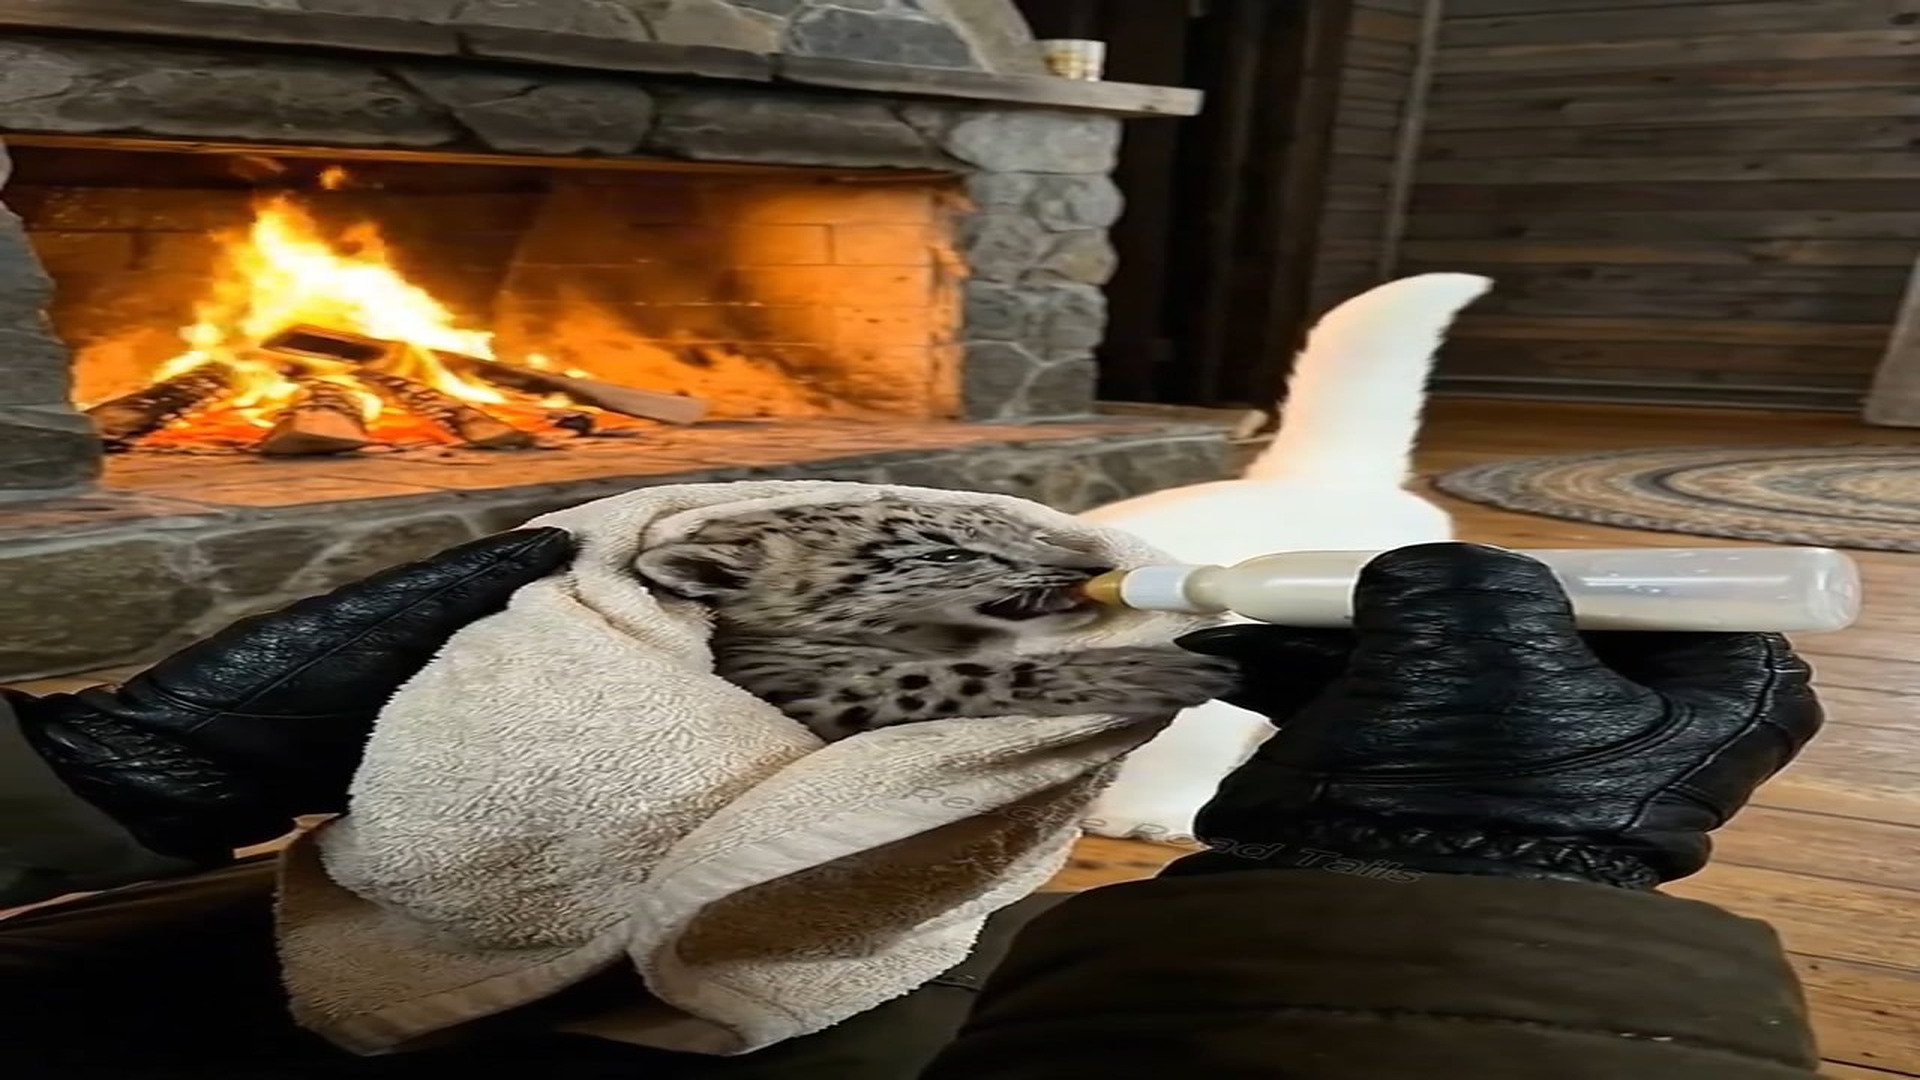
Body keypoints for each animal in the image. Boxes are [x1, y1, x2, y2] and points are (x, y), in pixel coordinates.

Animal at [633, 498, 1240, 741]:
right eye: (945, 554)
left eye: (1029, 532)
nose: (1093, 566)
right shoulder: (811, 692)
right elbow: (947, 677)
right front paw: (1146, 670)